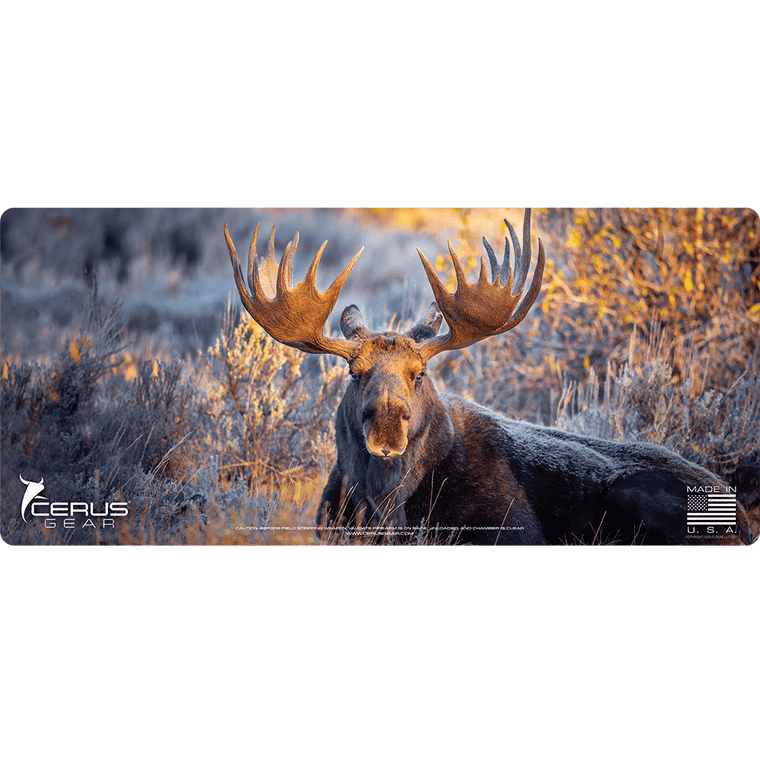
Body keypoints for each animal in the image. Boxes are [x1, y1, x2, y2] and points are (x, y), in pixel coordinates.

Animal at [224, 208, 752, 546]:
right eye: (354, 373)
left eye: (420, 373)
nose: (387, 431)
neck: (388, 502)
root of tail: (745, 523)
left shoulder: (515, 530)